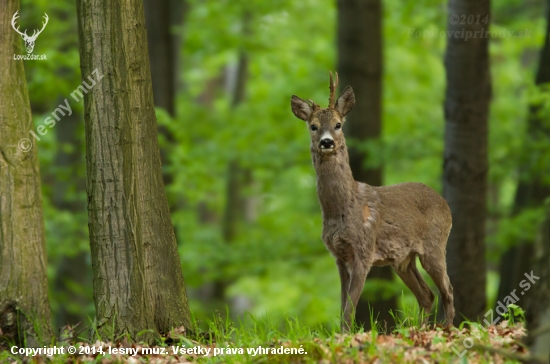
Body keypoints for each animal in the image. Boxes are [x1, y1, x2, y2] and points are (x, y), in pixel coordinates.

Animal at [292, 72, 454, 332]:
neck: (342, 209)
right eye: (313, 126)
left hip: (435, 246)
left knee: (447, 290)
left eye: (338, 124)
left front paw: (346, 336)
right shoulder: (339, 257)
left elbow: (349, 308)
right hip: (403, 260)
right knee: (427, 294)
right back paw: (420, 330)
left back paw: (448, 329)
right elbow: (342, 305)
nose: (326, 142)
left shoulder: (364, 251)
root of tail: (445, 204)